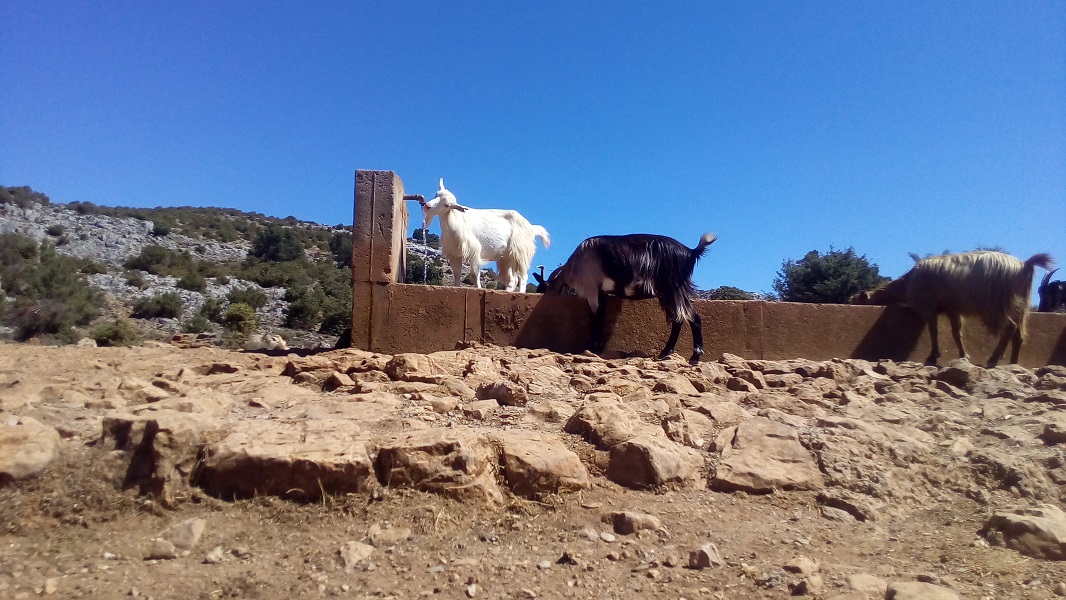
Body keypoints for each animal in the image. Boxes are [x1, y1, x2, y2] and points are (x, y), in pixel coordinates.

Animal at [419, 179, 549, 292]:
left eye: (447, 205)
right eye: (436, 194)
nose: (427, 206)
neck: (455, 220)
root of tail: (531, 228)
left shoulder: (474, 252)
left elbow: (474, 273)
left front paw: (478, 289)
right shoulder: (455, 254)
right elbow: (456, 274)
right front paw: (456, 288)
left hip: (519, 252)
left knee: (522, 277)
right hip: (506, 258)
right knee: (513, 278)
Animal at [544, 232, 717, 365]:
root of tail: (691, 252)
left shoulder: (591, 288)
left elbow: (595, 316)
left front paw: (593, 347)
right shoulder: (601, 293)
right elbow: (601, 315)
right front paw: (598, 346)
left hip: (673, 289)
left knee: (692, 317)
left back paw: (694, 357)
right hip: (670, 293)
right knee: (679, 319)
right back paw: (665, 353)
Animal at [851, 251, 1054, 367]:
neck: (907, 283)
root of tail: (1025, 264)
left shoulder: (929, 306)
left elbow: (933, 331)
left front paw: (933, 356)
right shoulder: (952, 308)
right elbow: (957, 333)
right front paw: (964, 356)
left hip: (998, 304)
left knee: (1009, 328)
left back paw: (994, 359)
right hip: (1021, 305)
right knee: (1019, 335)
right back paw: (1013, 363)